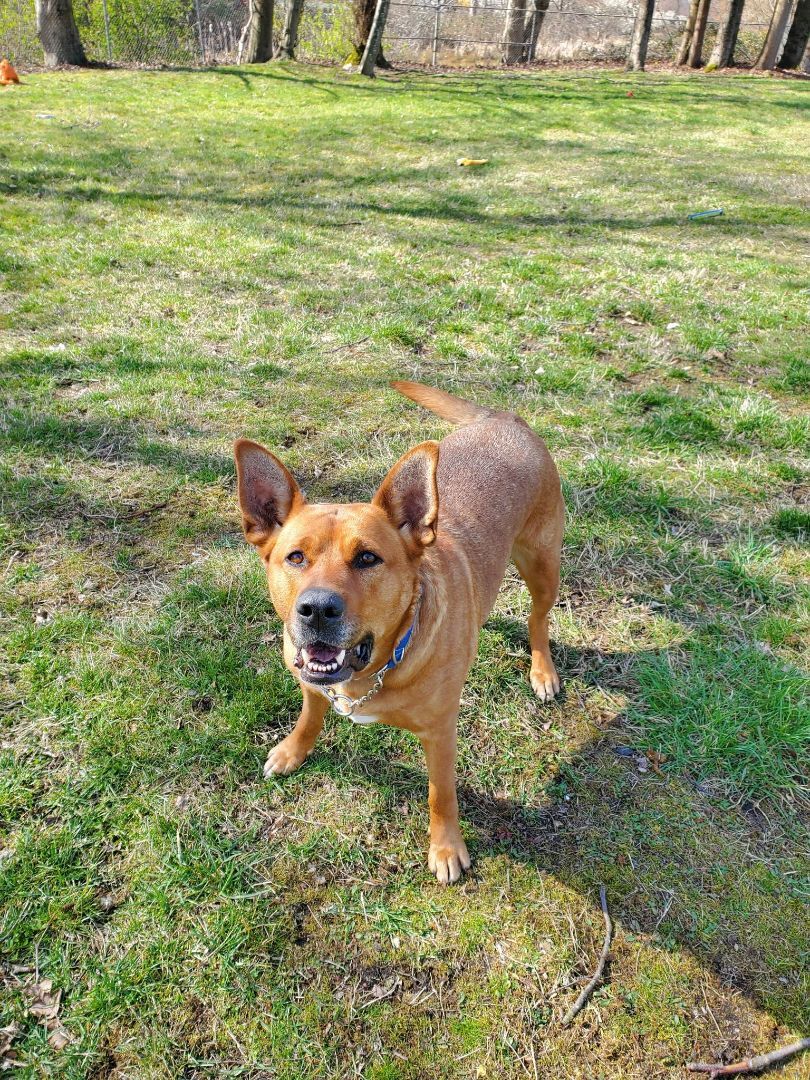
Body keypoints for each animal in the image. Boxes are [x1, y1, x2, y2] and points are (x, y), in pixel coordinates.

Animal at [236, 384, 565, 881]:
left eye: (367, 558)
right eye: (295, 557)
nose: (316, 610)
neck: (372, 671)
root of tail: (506, 419)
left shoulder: (440, 733)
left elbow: (440, 794)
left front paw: (446, 848)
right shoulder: (310, 681)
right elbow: (310, 715)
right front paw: (294, 750)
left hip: (543, 565)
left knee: (537, 619)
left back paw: (542, 670)